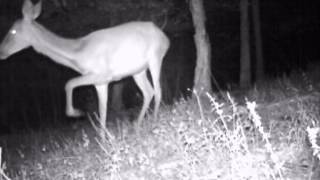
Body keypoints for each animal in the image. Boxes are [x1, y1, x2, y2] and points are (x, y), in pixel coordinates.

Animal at [0, 0, 170, 139]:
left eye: (13, 31)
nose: (1, 51)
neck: (78, 54)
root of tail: (165, 37)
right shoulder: (101, 82)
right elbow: (102, 110)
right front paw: (104, 139)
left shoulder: (102, 74)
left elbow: (68, 83)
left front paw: (76, 112)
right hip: (137, 71)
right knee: (148, 91)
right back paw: (138, 125)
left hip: (155, 57)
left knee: (158, 90)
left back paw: (154, 122)